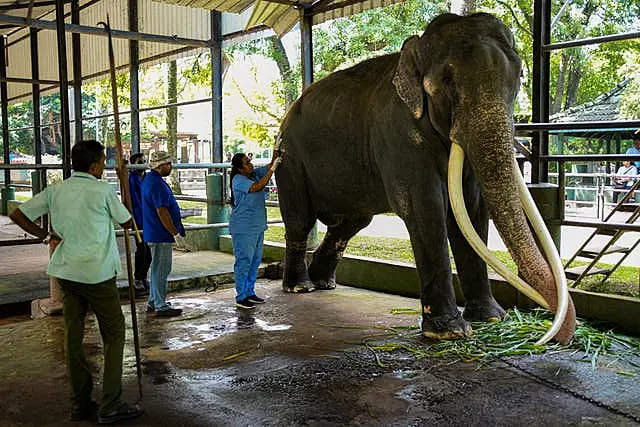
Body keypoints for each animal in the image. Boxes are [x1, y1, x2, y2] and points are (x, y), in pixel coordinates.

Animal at [274, 12, 576, 344]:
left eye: (520, 76)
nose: (553, 336)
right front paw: (449, 333)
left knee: (351, 223)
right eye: (446, 81)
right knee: (301, 220)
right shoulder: (400, 134)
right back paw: (300, 287)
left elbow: (472, 210)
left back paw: (323, 282)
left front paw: (492, 318)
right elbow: (425, 208)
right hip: (289, 161)